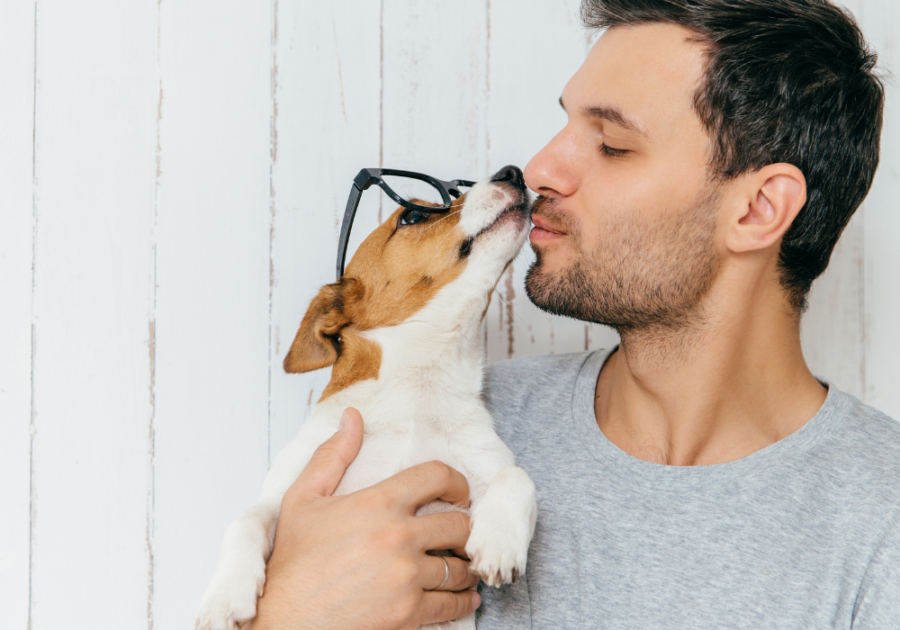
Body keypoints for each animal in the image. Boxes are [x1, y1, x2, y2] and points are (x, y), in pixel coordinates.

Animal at [196, 167, 536, 630]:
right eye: (412, 216)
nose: (513, 172)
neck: (417, 390)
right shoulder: (286, 491)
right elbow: (247, 516)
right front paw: (224, 597)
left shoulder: (481, 472)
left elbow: (519, 477)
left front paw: (501, 541)